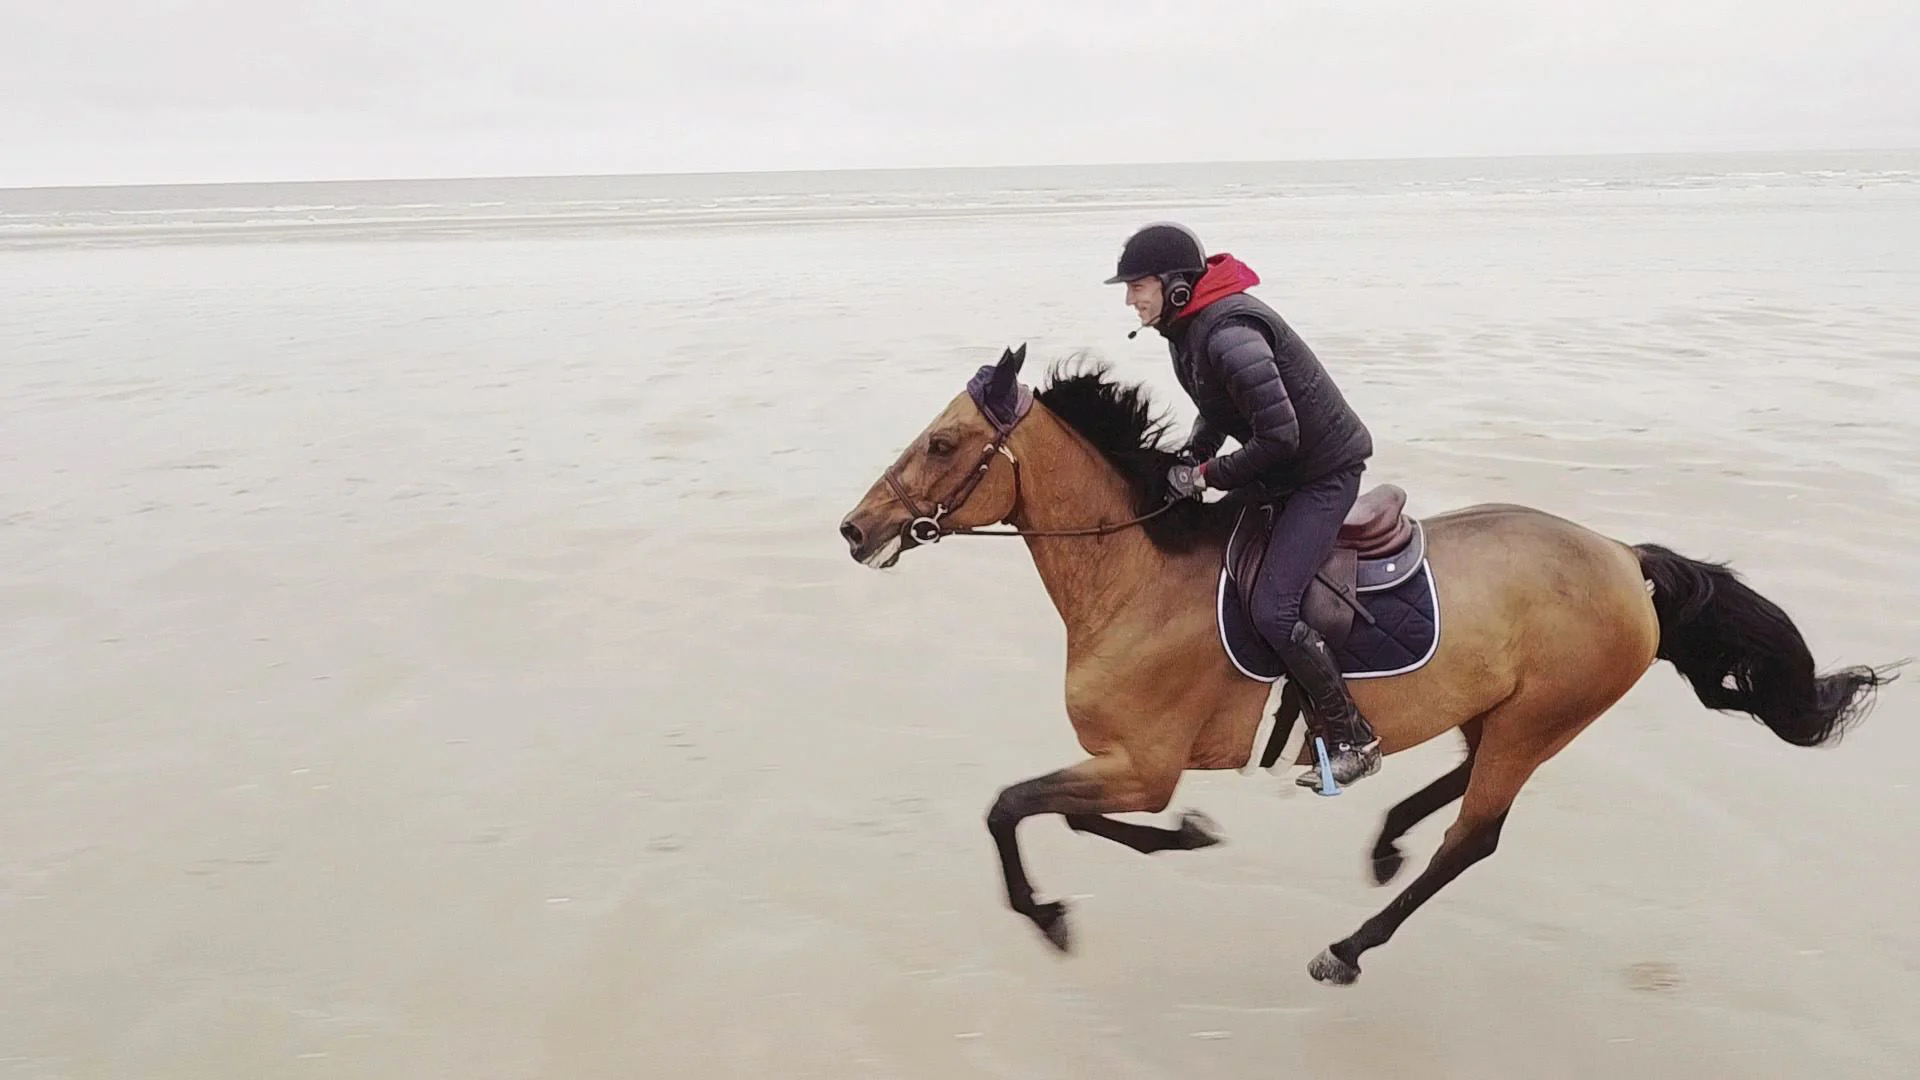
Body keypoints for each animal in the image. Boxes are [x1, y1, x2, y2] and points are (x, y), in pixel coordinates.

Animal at [836, 344, 1897, 985]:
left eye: (941, 443)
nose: (855, 529)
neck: (1135, 575)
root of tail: (1622, 558)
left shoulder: (1141, 765)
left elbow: (1011, 807)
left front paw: (1049, 913)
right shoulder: (1131, 770)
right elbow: (1070, 817)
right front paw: (1186, 840)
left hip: (1543, 713)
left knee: (1475, 836)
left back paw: (1349, 945)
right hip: (1508, 707)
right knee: (1464, 777)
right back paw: (1380, 828)